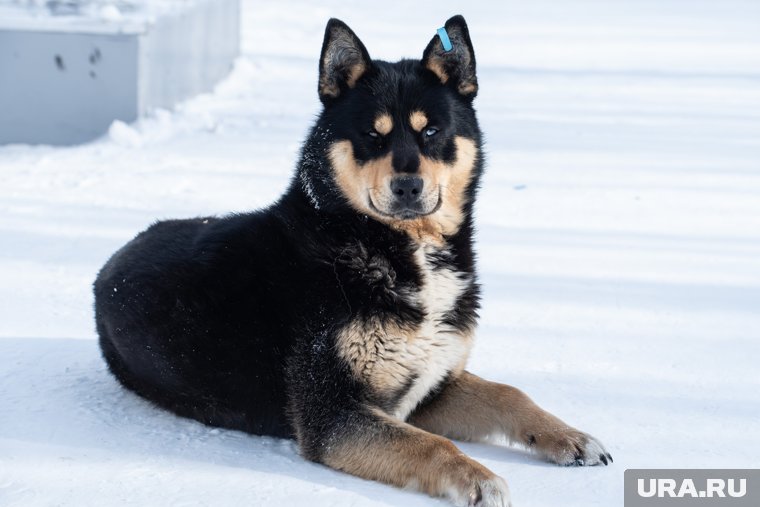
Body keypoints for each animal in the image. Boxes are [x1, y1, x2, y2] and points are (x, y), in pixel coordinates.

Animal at [96, 15, 612, 507]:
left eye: (431, 131)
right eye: (371, 135)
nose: (407, 186)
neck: (384, 245)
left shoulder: (430, 386)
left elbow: (509, 393)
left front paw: (570, 436)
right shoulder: (335, 414)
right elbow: (431, 445)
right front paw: (478, 479)